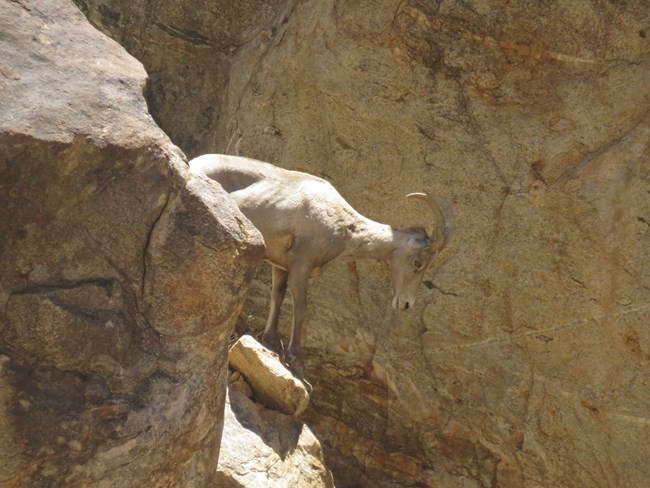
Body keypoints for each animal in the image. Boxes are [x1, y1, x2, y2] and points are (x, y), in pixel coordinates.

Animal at [187, 154, 450, 376]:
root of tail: (195, 163)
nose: (406, 304)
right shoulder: (300, 265)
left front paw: (271, 341)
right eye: (418, 262)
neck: (344, 227)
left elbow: (277, 296)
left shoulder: (281, 266)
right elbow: (301, 307)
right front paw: (296, 360)